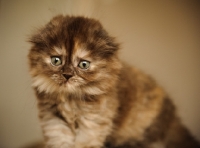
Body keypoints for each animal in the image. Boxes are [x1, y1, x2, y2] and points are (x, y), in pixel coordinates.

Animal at [28, 15, 200, 148]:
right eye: (56, 60)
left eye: (84, 64)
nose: (67, 75)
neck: (71, 100)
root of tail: (173, 118)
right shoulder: (54, 122)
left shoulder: (93, 124)